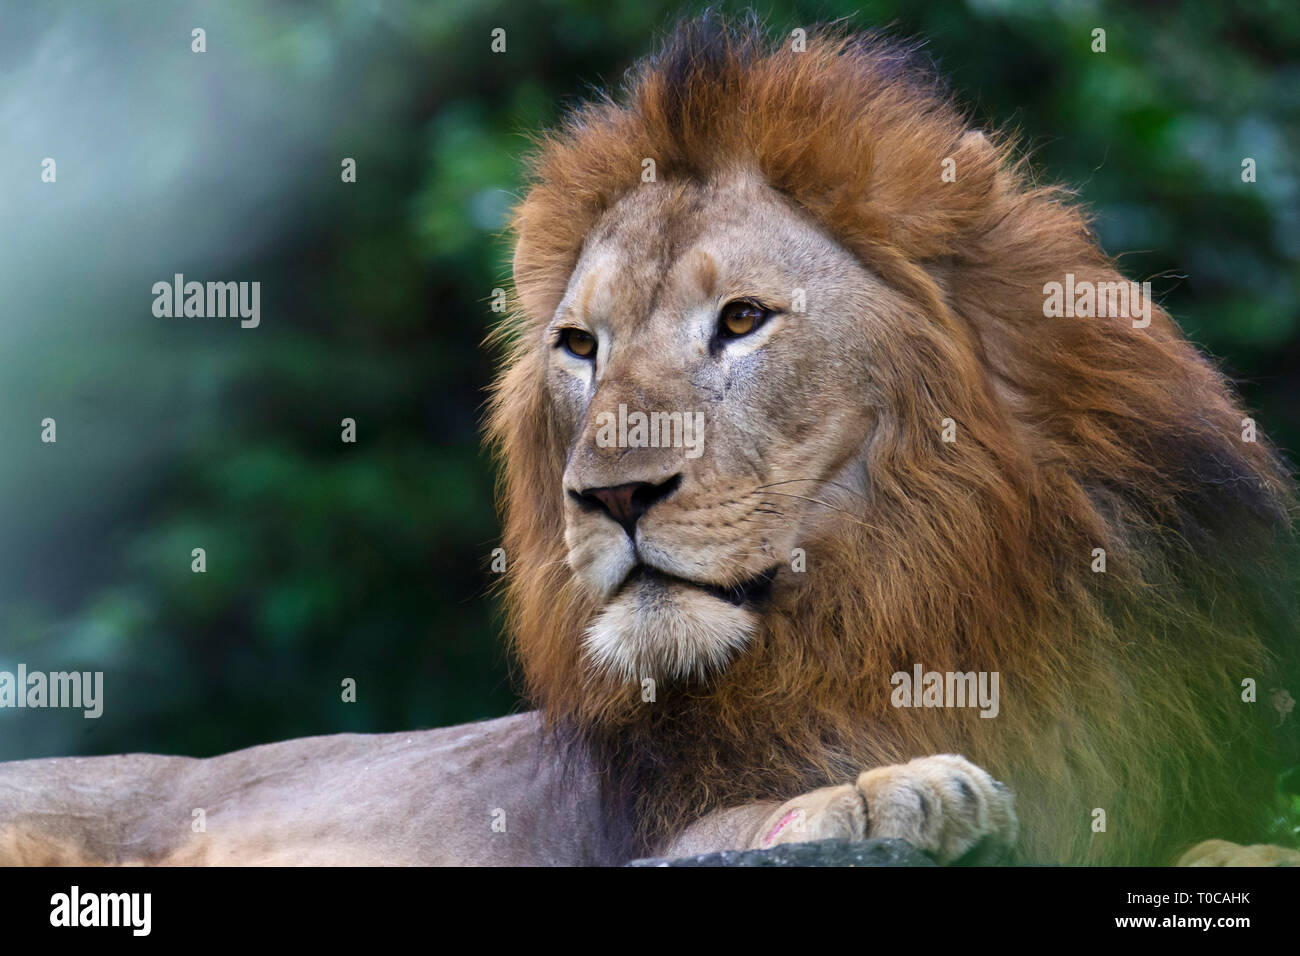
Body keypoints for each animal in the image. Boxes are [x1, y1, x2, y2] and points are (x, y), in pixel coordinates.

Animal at [2, 16, 1300, 868]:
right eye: (581, 345)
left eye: (741, 320)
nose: (612, 497)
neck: (911, 601)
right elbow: (739, 820)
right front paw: (892, 791)